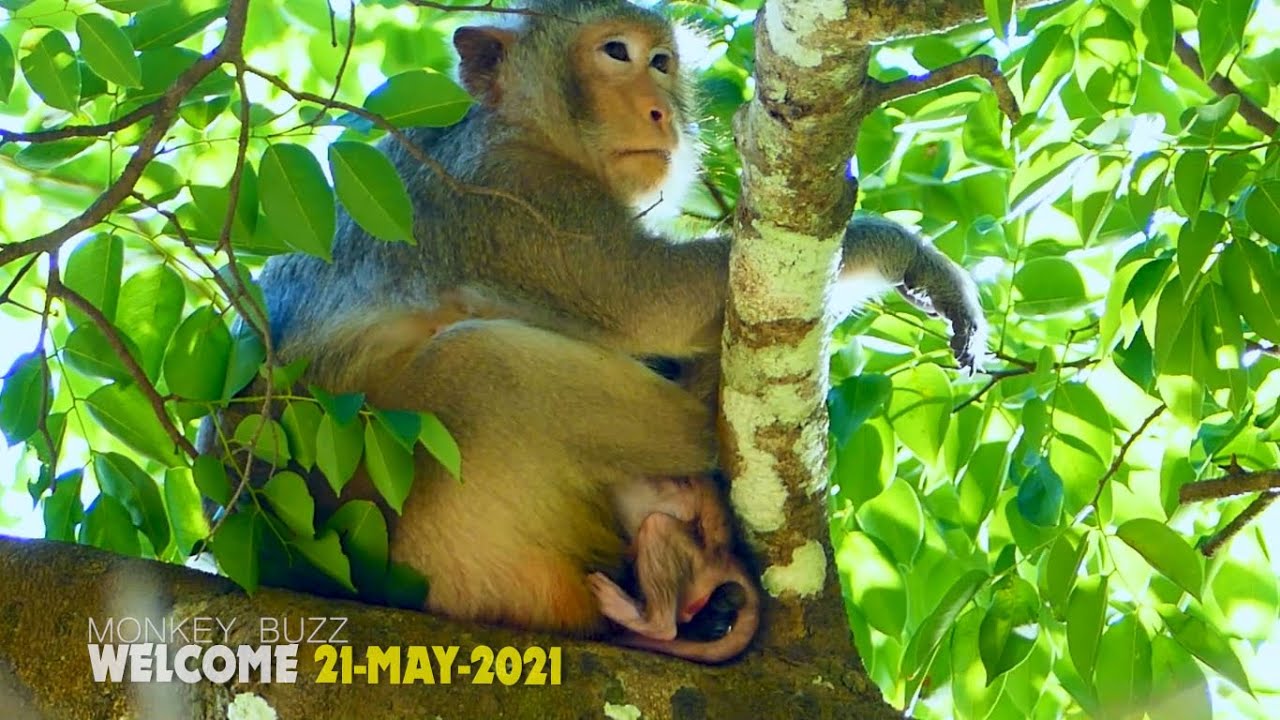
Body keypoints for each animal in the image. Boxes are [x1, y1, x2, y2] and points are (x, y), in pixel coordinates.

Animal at [203, 0, 987, 661]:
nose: (660, 111)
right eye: (616, 52)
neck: (520, 124)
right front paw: (908, 252)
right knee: (480, 363)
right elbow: (651, 302)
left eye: (662, 61)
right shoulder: (514, 198)